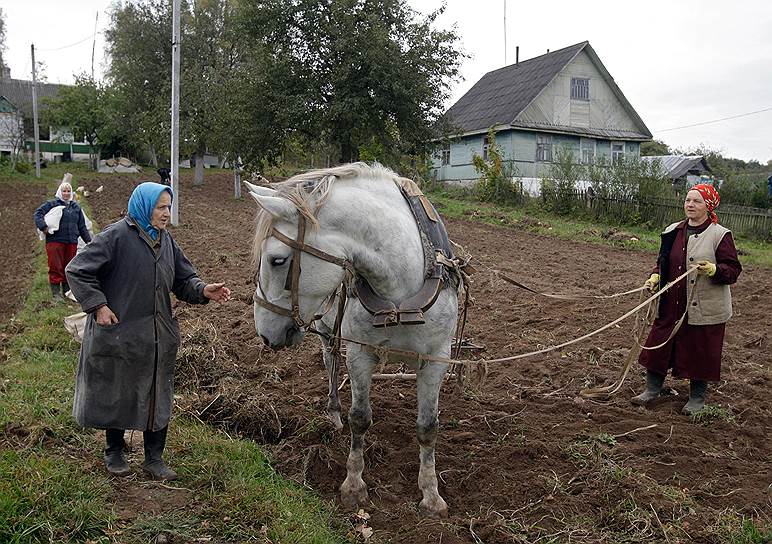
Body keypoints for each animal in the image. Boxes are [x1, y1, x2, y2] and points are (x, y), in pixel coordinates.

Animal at [244, 163, 456, 520]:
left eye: (277, 260)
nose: (264, 333)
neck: (400, 290)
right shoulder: (360, 354)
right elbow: (360, 418)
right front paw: (354, 485)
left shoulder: (435, 359)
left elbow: (428, 427)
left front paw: (431, 495)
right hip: (326, 326)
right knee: (330, 359)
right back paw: (333, 411)